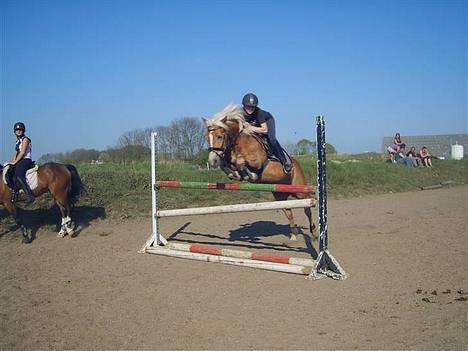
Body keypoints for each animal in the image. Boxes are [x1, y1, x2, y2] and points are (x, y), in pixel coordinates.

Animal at [203, 104, 316, 242]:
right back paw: (294, 235)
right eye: (206, 137)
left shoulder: (257, 161)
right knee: (288, 211)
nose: (212, 161)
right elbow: (227, 165)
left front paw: (250, 175)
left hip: (299, 190)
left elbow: (240, 161)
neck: (238, 142)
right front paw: (235, 174)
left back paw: (314, 233)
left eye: (219, 136)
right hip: (280, 195)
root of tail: (296, 163)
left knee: (307, 207)